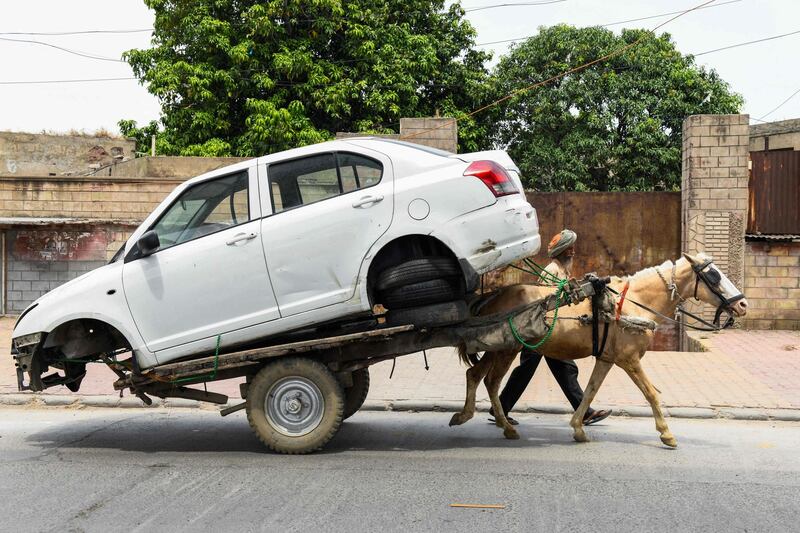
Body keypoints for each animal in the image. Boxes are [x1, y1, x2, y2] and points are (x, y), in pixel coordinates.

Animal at [450, 252, 752, 444]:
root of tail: (493, 295)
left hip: (497, 347)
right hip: (505, 348)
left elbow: (590, 391)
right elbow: (651, 393)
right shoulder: (629, 360)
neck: (632, 304)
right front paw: (667, 434)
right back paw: (502, 425)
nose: (742, 304)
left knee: (475, 375)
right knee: (490, 381)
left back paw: (472, 417)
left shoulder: (607, 358)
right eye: (713, 275)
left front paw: (579, 428)